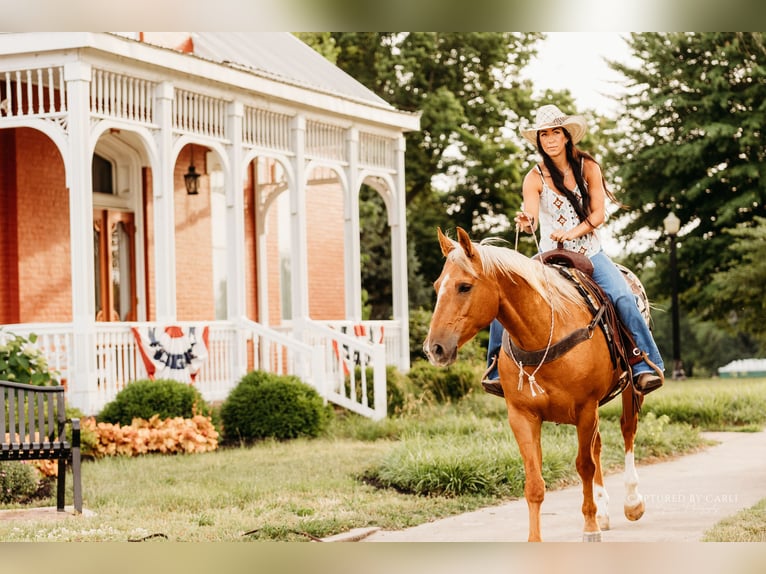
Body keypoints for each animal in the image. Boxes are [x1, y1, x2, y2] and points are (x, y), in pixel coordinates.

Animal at [426, 227, 648, 544]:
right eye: (437, 286)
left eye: (464, 286)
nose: (434, 348)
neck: (542, 332)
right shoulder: (523, 416)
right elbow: (534, 481)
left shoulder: (585, 409)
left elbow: (584, 466)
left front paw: (590, 527)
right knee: (598, 446)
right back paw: (604, 511)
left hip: (628, 388)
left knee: (627, 430)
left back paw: (632, 502)